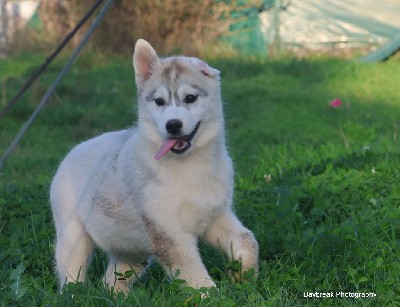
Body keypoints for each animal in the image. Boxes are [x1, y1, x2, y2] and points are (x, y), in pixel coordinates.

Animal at [50, 39, 258, 294]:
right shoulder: (169, 233)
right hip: (73, 235)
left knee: (113, 278)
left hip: (130, 250)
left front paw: (243, 279)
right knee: (71, 274)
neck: (190, 168)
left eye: (190, 98)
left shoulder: (215, 217)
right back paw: (73, 294)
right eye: (159, 102)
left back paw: (115, 296)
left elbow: (247, 241)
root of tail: (74, 150)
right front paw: (214, 296)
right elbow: (197, 280)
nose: (173, 125)